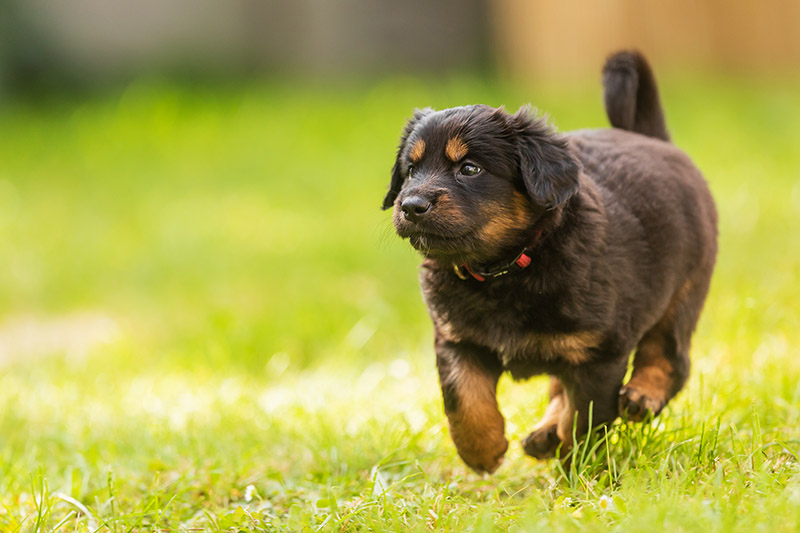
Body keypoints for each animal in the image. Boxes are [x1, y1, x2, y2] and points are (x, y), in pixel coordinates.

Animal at [382, 52, 720, 472]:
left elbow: (585, 419)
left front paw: (579, 469)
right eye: (411, 170)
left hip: (683, 289)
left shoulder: (600, 351)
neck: (504, 270)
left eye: (470, 169)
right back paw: (544, 435)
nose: (411, 205)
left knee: (669, 355)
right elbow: (464, 398)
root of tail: (652, 139)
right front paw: (483, 451)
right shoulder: (458, 339)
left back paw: (641, 396)